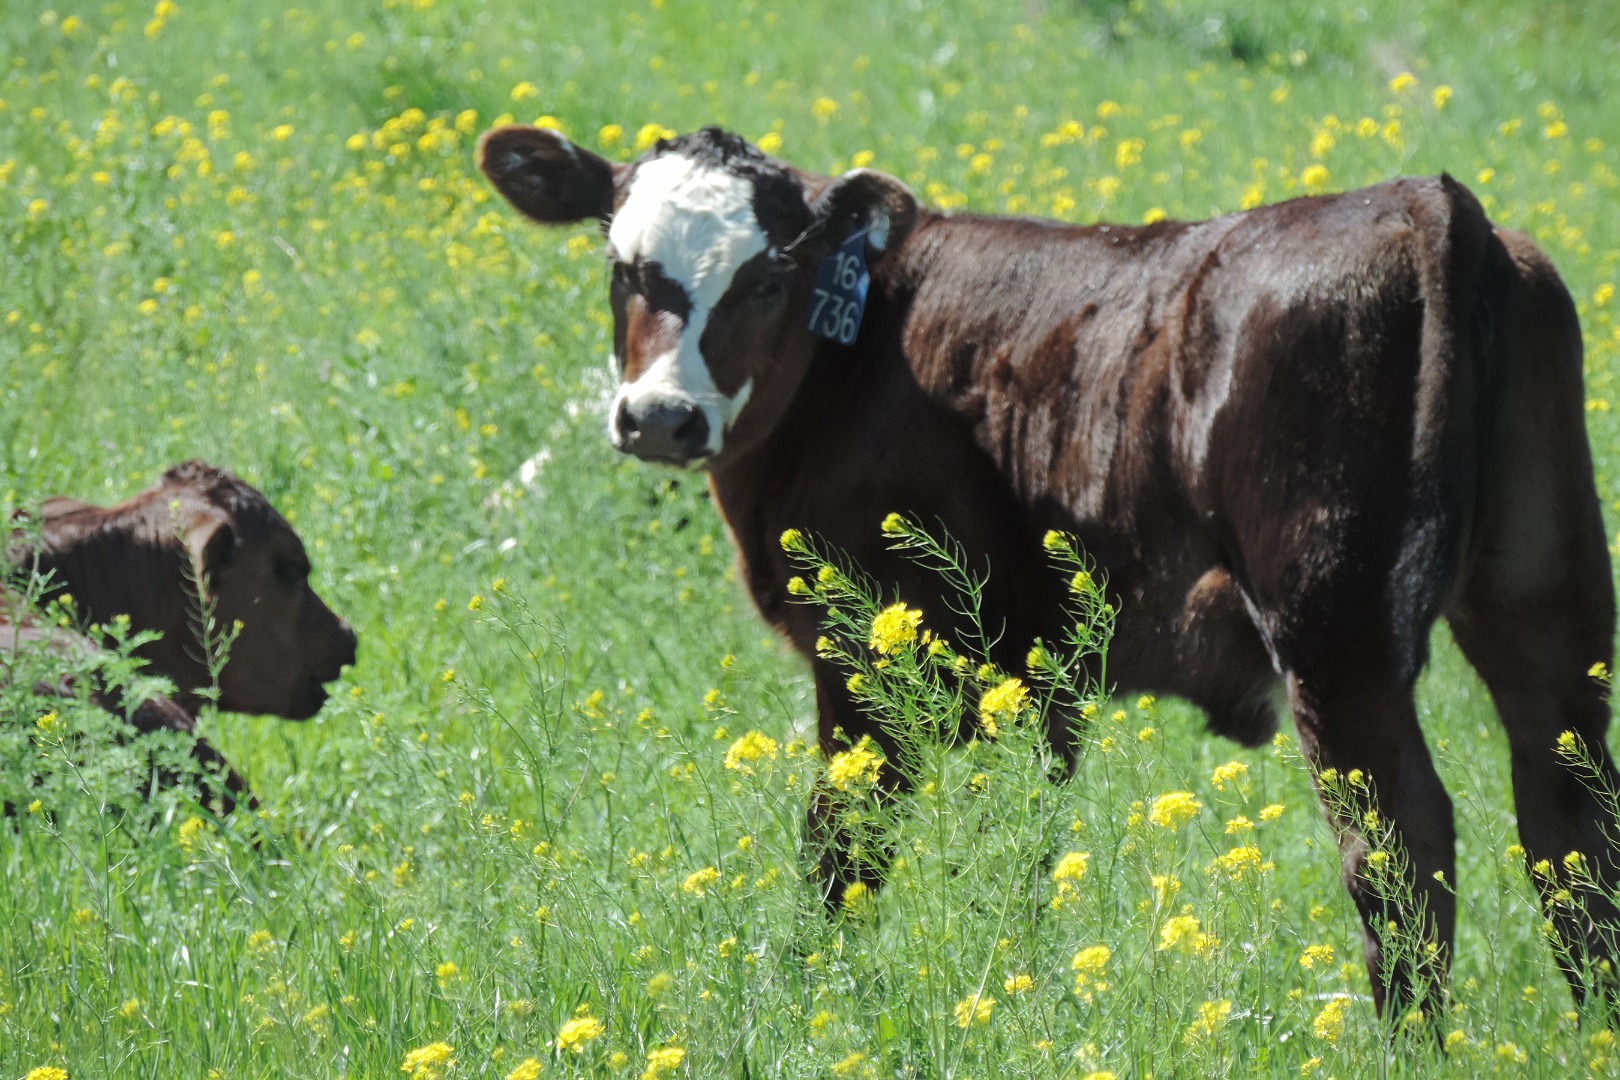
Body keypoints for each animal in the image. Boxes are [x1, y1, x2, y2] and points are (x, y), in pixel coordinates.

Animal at [478, 123, 1619, 1020]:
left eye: (766, 280)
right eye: (623, 266)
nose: (660, 418)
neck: (867, 350)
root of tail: (1420, 202)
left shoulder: (870, 656)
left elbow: (844, 848)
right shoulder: (1036, 674)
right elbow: (1022, 842)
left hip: (1337, 643)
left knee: (1402, 848)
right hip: (1545, 612)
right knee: (1568, 818)